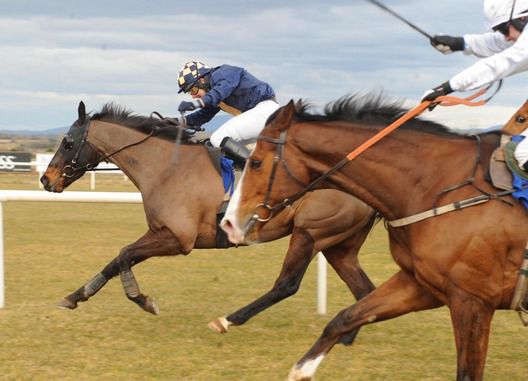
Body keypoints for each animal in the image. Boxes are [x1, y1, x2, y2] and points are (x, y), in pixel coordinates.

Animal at [42, 99, 380, 336]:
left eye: (68, 142)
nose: (47, 179)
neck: (164, 167)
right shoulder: (159, 232)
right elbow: (116, 260)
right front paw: (75, 296)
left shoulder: (178, 239)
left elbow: (124, 255)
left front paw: (143, 300)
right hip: (338, 244)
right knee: (363, 289)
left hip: (310, 233)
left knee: (286, 285)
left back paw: (228, 320)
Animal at [220, 94, 528, 380]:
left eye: (255, 162)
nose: (229, 223)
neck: (437, 188)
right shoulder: (422, 284)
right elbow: (344, 317)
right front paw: (302, 369)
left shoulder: (472, 300)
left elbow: (467, 372)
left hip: (313, 232)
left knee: (289, 282)